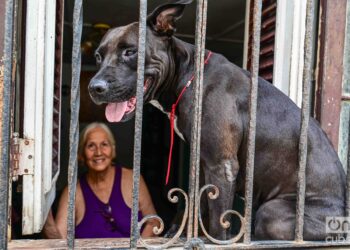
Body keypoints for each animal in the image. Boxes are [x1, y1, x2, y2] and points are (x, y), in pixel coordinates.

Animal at [87, 0, 344, 240]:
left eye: (130, 52)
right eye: (98, 56)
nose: (94, 88)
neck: (188, 76)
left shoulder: (222, 165)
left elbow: (218, 222)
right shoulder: (203, 161)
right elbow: (194, 202)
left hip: (272, 214)